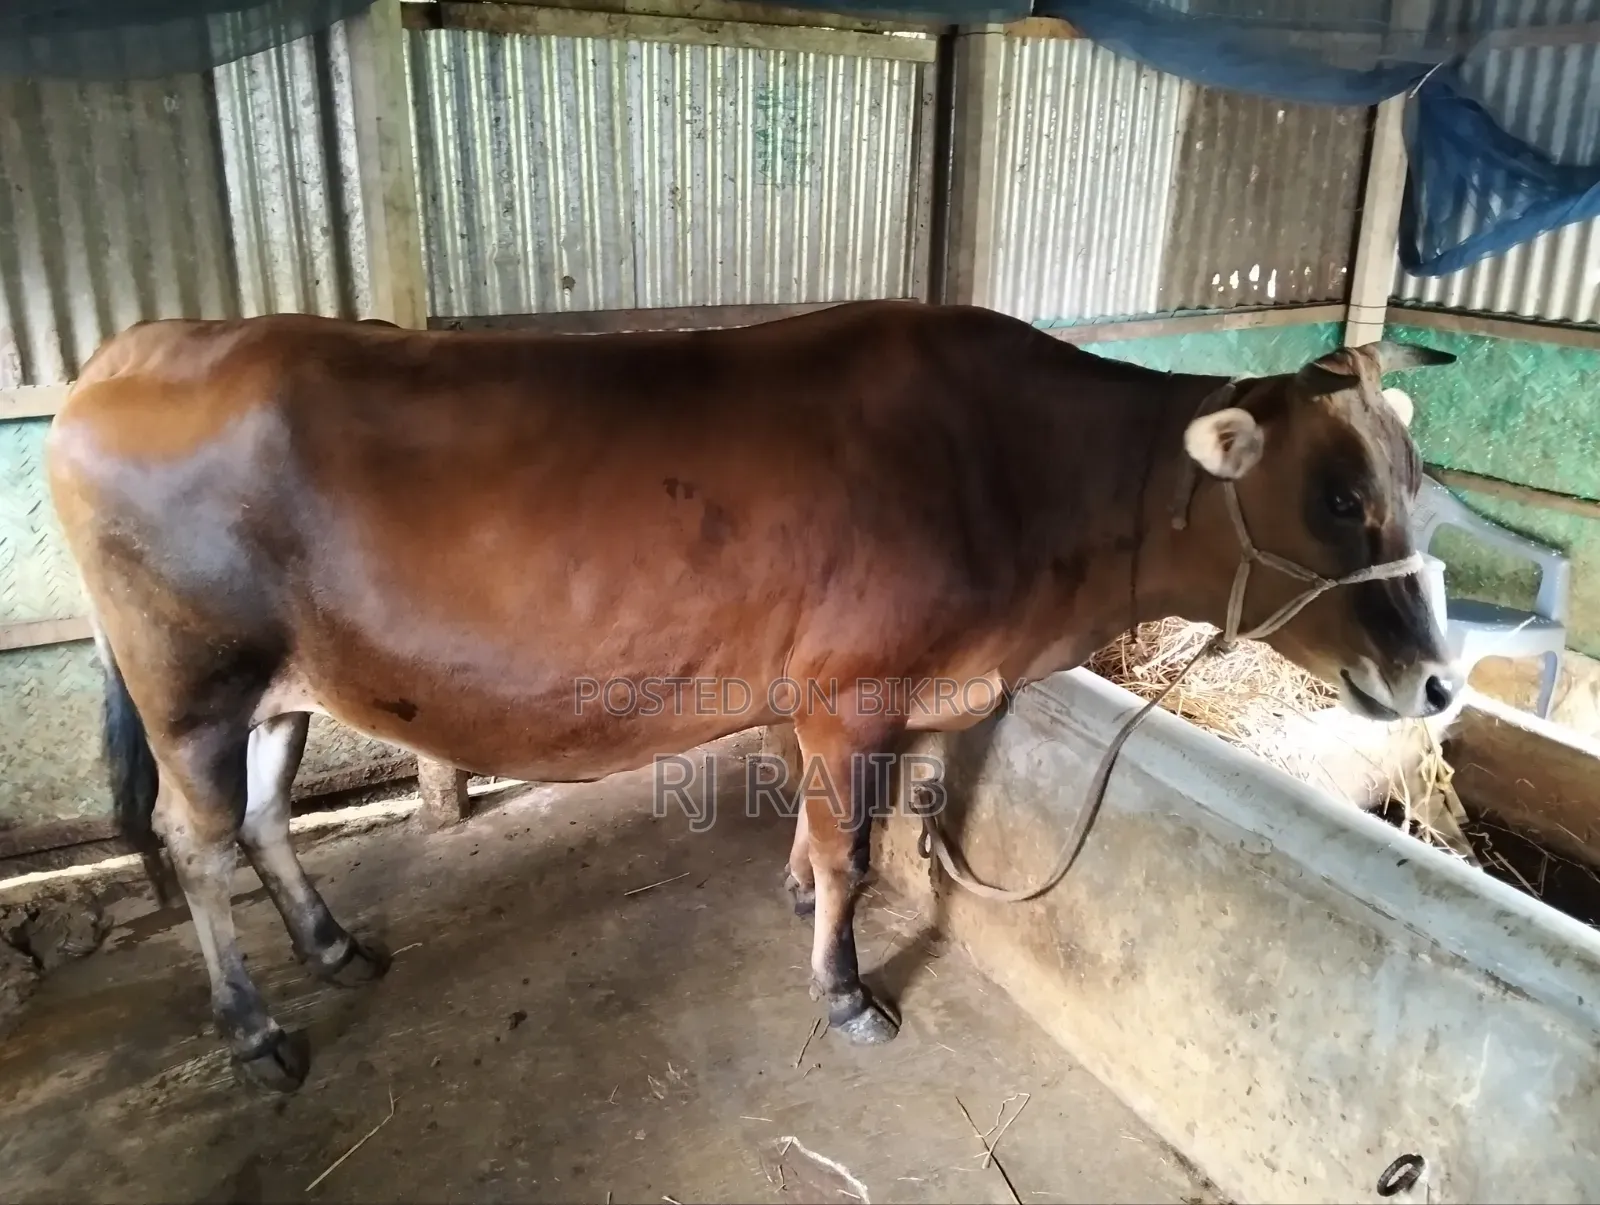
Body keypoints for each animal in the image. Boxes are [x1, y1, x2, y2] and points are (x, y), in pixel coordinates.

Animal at [45, 300, 1460, 1091]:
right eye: (1338, 494)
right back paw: (251, 1029)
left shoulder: (849, 695)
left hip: (283, 684)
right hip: (190, 682)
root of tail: (138, 346)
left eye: (1413, 479)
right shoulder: (852, 692)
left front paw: (793, 898)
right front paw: (844, 988)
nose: (1439, 678)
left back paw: (335, 946)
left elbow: (830, 827)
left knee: (264, 816)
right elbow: (853, 849)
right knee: (195, 842)